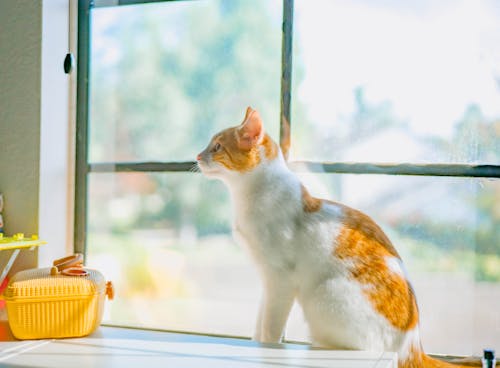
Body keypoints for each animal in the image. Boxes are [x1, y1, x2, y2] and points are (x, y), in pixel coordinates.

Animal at [195, 107, 476, 368]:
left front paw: (266, 350)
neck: (248, 194)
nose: (197, 156)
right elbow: (260, 319)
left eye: (217, 146)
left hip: (324, 295)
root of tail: (413, 347)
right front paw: (256, 342)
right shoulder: (268, 278)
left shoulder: (280, 279)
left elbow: (271, 327)